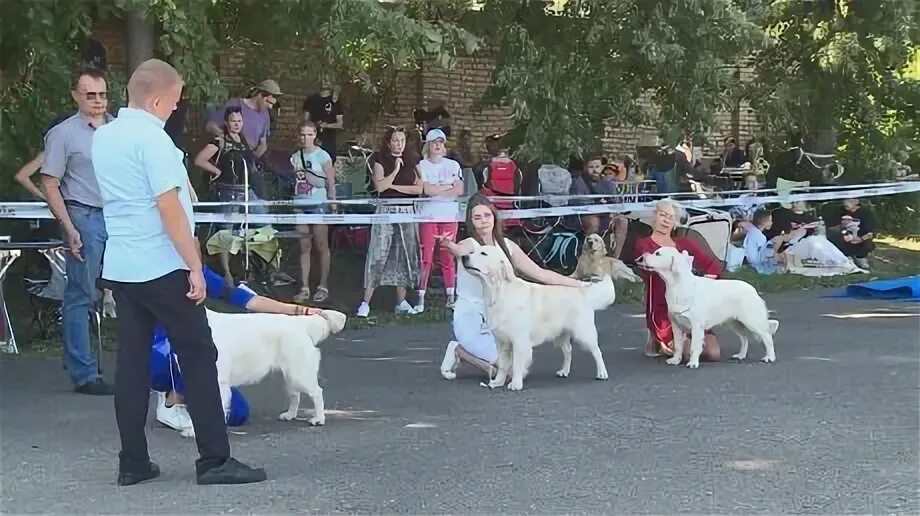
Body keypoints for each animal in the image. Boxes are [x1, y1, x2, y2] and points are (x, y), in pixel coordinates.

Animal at [460, 244, 620, 390]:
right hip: (560, 335)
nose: (463, 256)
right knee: (568, 350)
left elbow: (517, 364)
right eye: (472, 251)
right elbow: (503, 365)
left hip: (584, 333)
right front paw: (498, 382)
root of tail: (582, 292)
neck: (498, 292)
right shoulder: (501, 342)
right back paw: (564, 371)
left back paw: (602, 373)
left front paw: (516, 384)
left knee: (597, 351)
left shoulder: (519, 341)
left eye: (483, 253)